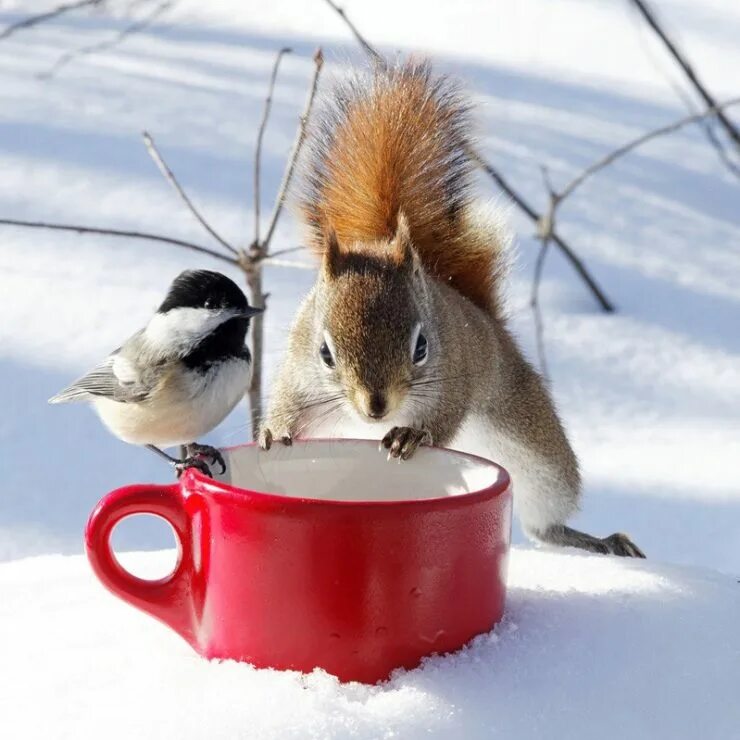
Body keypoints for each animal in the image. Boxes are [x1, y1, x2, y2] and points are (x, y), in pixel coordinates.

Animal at [264, 60, 644, 556]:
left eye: (422, 347)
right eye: (325, 353)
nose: (376, 408)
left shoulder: (455, 379)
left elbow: (444, 417)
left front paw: (411, 435)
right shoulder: (299, 373)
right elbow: (288, 409)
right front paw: (274, 433)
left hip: (538, 455)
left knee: (545, 525)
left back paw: (603, 542)